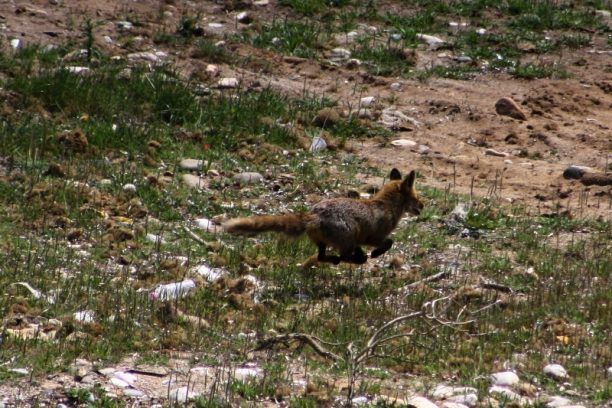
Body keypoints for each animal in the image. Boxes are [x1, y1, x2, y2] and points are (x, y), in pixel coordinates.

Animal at [222, 168, 424, 264]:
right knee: (344, 257)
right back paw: (357, 259)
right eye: (416, 197)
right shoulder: (372, 237)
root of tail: (313, 216)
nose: (423, 206)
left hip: (325, 242)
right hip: (348, 238)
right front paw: (375, 254)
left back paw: (337, 260)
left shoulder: (361, 240)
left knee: (322, 257)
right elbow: (389, 242)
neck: (385, 206)